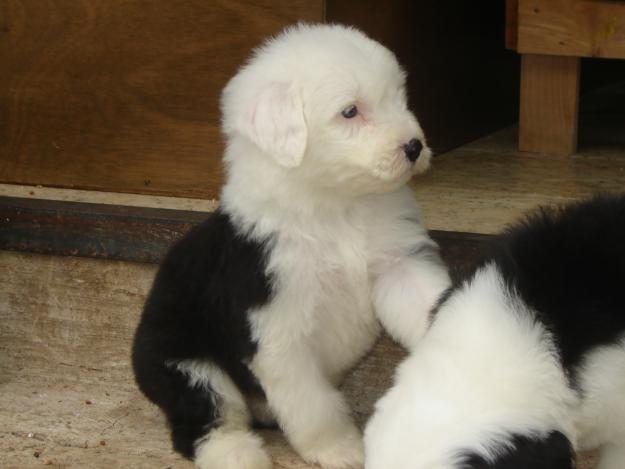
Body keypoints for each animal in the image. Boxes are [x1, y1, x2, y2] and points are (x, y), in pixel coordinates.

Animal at [132, 22, 448, 468]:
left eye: (399, 98)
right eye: (350, 111)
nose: (414, 146)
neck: (335, 209)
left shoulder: (397, 263)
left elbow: (425, 301)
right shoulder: (277, 326)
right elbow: (311, 403)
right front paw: (340, 449)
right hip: (182, 362)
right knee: (203, 420)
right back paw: (237, 454)